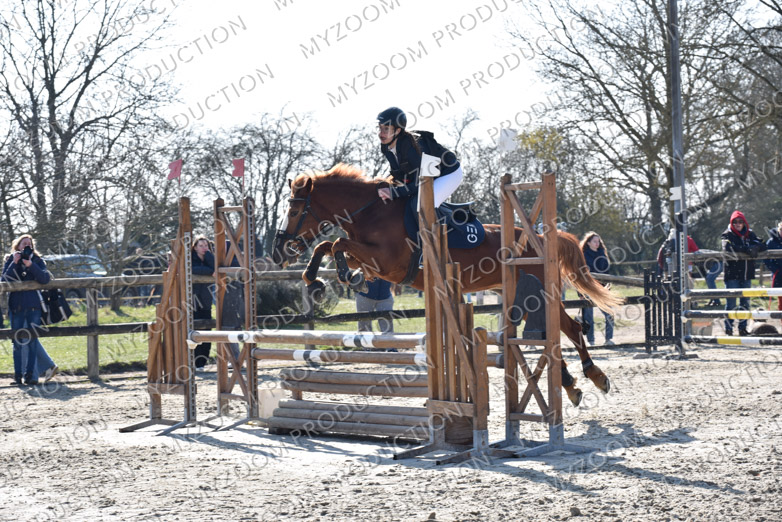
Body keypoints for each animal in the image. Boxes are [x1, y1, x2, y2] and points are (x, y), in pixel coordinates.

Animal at [271, 164, 624, 406]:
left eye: (294, 209)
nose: (278, 251)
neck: (370, 213)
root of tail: (542, 237)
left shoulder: (389, 262)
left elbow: (338, 243)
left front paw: (334, 276)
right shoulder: (376, 263)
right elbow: (328, 246)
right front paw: (321, 277)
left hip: (537, 293)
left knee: (569, 328)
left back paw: (595, 377)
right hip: (518, 295)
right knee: (551, 332)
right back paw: (571, 384)